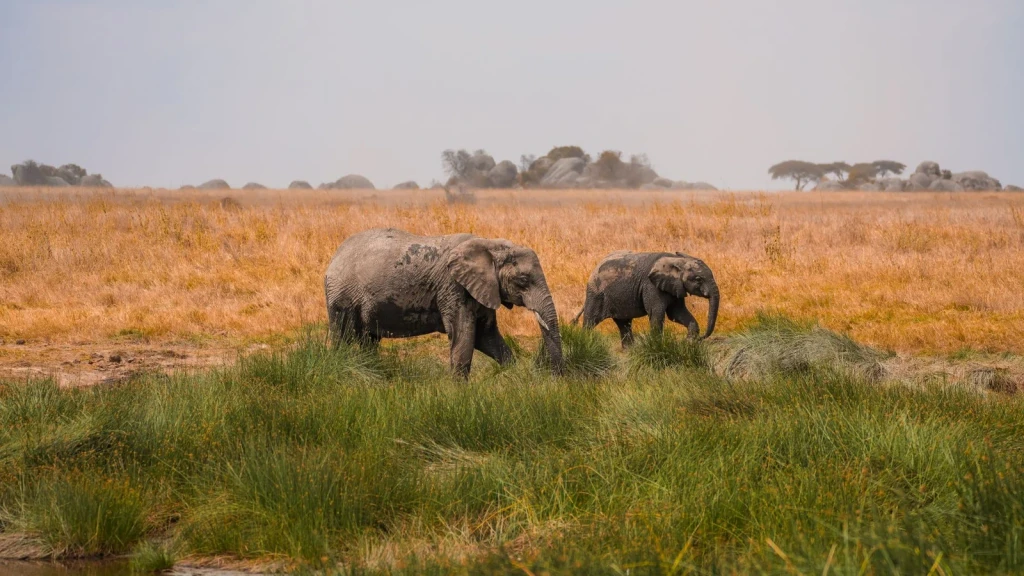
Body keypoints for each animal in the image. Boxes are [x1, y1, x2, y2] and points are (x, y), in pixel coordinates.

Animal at [324, 228, 564, 377]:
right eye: (523, 280)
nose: (557, 379)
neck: (490, 245)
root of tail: (334, 257)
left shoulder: (482, 290)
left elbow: (486, 337)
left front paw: (513, 375)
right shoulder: (453, 288)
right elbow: (464, 336)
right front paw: (459, 393)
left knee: (369, 340)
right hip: (341, 296)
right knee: (344, 336)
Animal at [572, 251, 719, 347]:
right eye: (698, 279)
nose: (702, 338)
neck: (676, 260)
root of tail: (595, 268)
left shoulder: (675, 286)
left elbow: (677, 313)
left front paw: (689, 343)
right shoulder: (651, 286)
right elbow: (657, 313)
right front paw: (658, 346)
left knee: (624, 323)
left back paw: (630, 351)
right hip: (596, 293)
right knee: (591, 320)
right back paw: (586, 344)